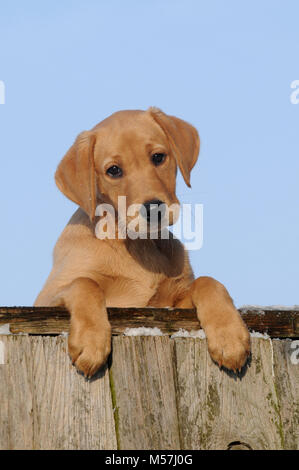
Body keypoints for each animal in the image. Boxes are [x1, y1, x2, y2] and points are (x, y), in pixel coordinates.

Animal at [34, 108, 251, 376]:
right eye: (113, 170)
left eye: (158, 157)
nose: (154, 209)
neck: (139, 245)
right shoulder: (46, 298)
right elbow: (85, 283)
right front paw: (90, 341)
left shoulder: (173, 305)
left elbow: (208, 281)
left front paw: (229, 336)